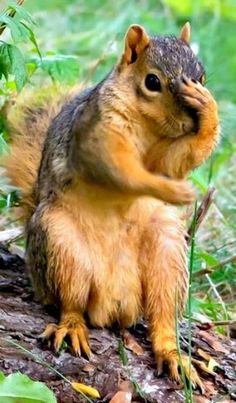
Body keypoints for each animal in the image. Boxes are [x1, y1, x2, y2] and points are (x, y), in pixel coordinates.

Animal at [5, 22, 219, 392]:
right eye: (152, 82)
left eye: (202, 77)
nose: (189, 122)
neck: (149, 126)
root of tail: (115, 303)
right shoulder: (95, 132)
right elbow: (119, 168)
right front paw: (174, 190)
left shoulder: (165, 152)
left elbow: (173, 161)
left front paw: (207, 111)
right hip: (60, 244)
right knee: (71, 303)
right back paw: (72, 327)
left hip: (167, 252)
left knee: (163, 315)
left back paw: (173, 353)